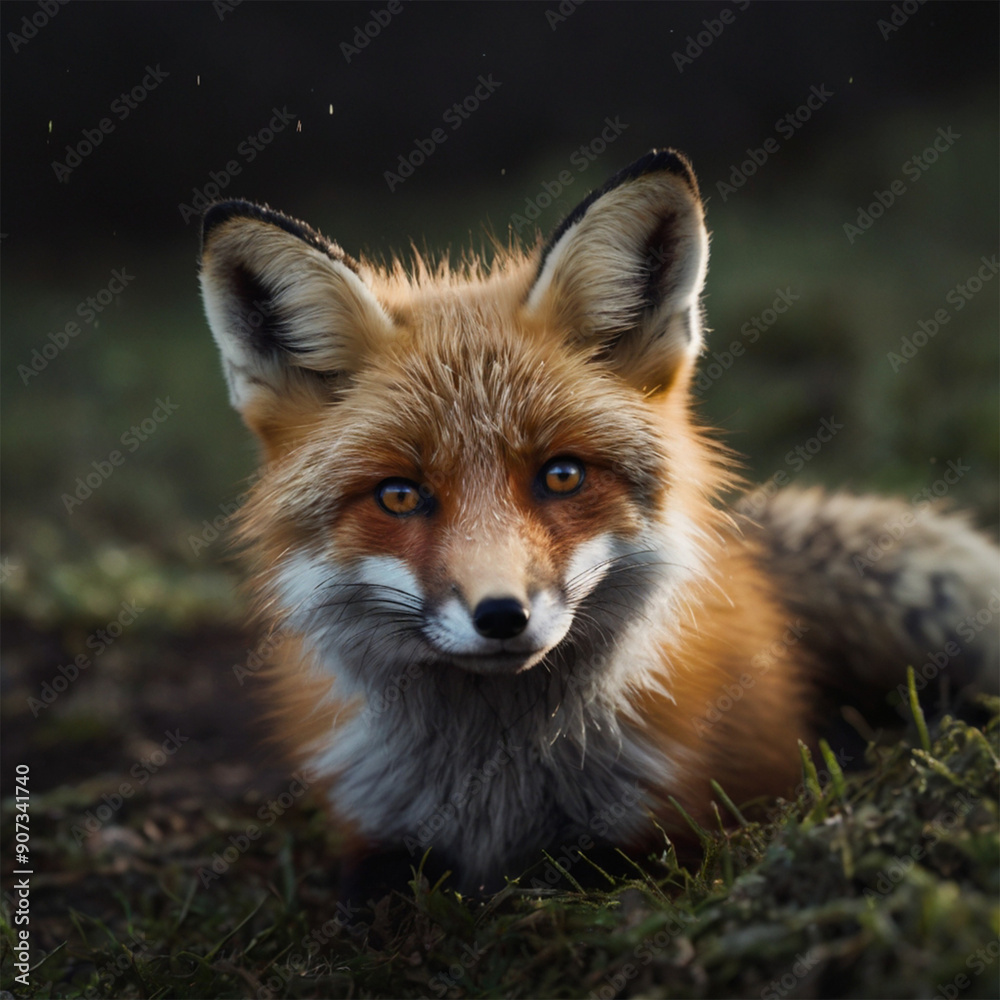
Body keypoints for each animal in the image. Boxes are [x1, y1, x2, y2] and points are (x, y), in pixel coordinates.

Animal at [199, 149, 999, 894]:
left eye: (562, 475)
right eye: (399, 495)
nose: (502, 615)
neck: (498, 797)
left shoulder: (647, 842)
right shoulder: (376, 840)